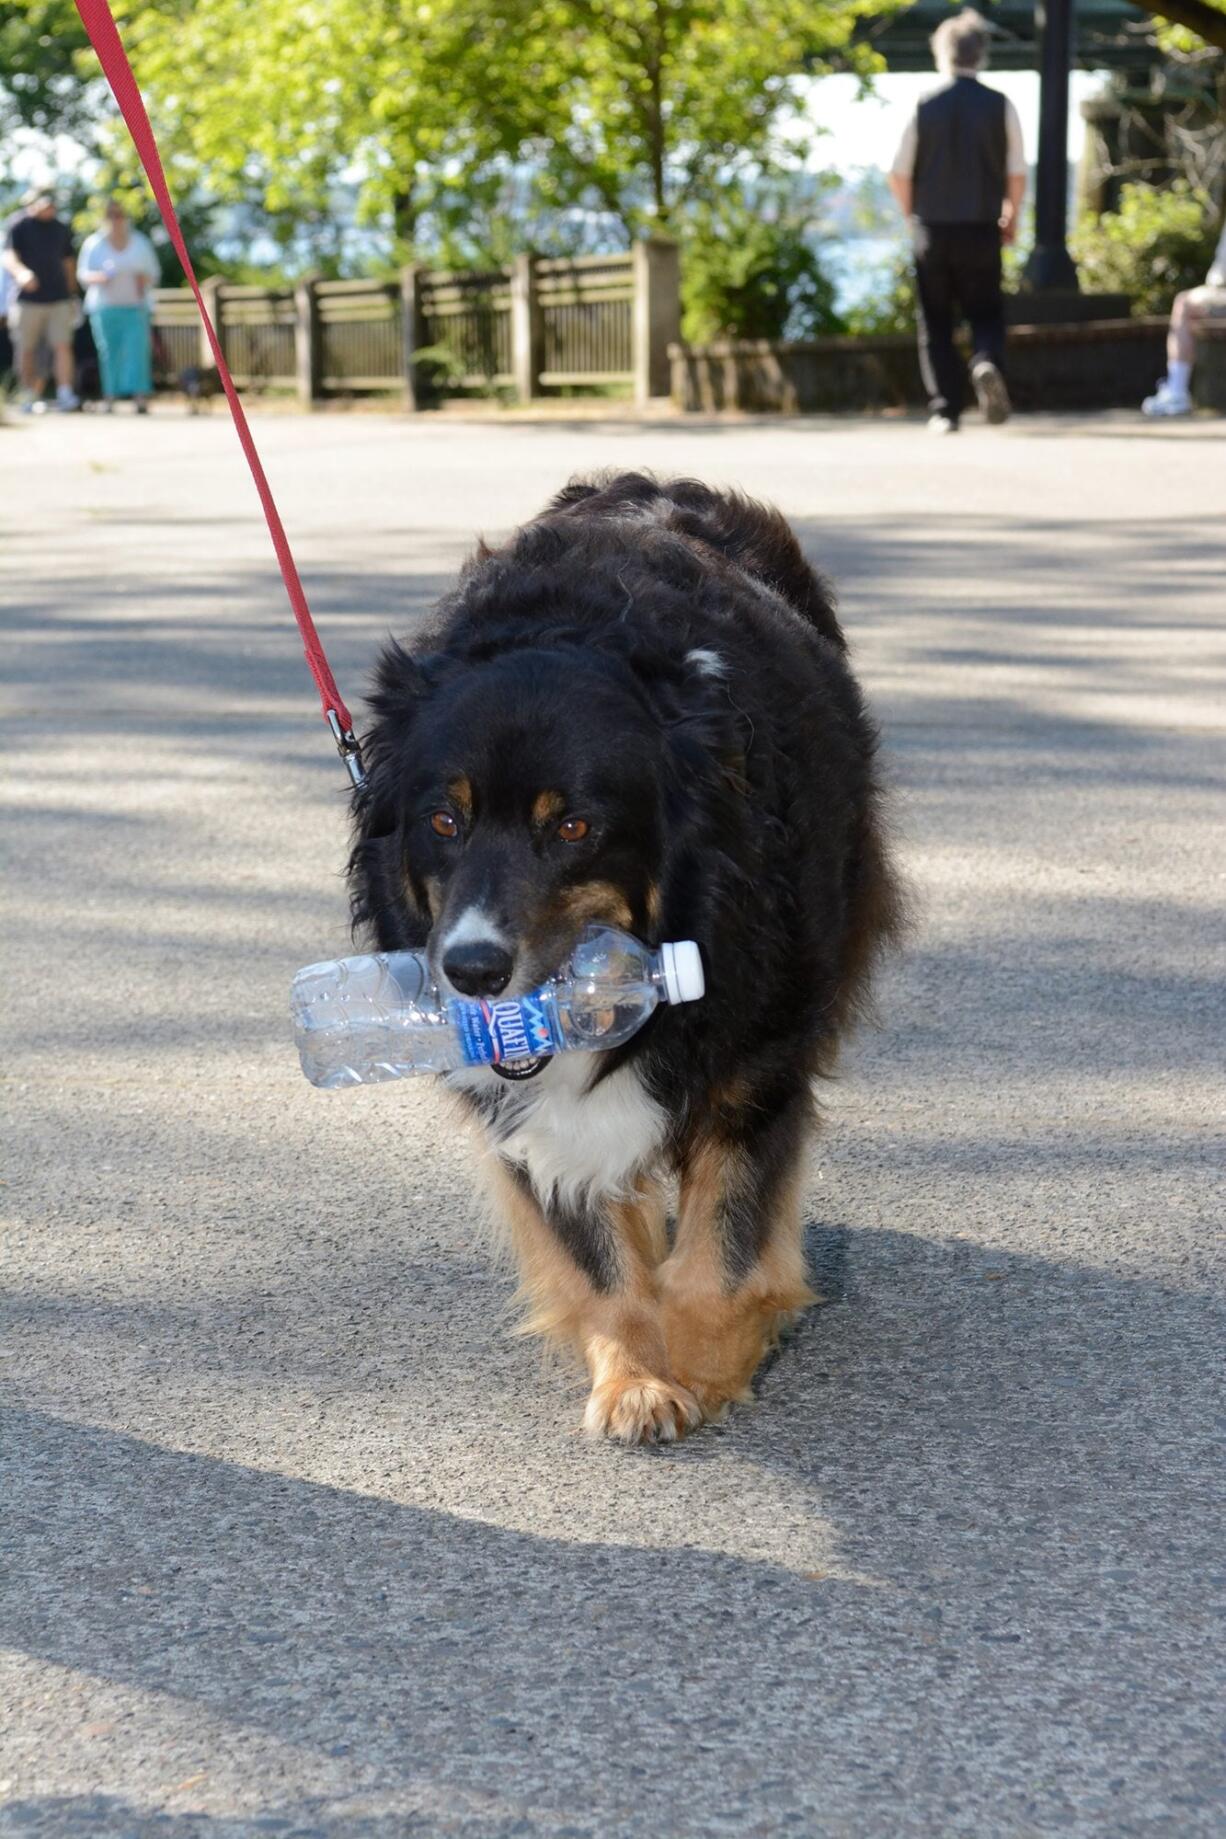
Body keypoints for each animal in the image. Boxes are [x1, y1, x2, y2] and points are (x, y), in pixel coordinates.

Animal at [347, 470, 900, 1434]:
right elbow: (596, 1253)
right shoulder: (516, 1106)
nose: (472, 971)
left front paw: (711, 1364)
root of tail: (645, 482)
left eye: (574, 827)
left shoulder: (760, 1055)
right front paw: (635, 1377)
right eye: (443, 821)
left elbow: (727, 1244)